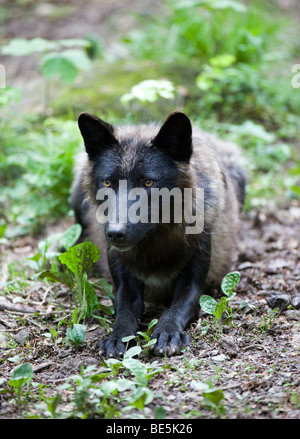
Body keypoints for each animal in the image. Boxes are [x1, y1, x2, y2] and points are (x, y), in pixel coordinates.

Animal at [71, 111, 245, 358]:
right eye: (107, 182)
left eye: (148, 182)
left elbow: (177, 308)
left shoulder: (194, 285)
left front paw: (167, 332)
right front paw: (117, 337)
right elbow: (124, 312)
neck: (154, 245)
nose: (114, 234)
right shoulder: (124, 285)